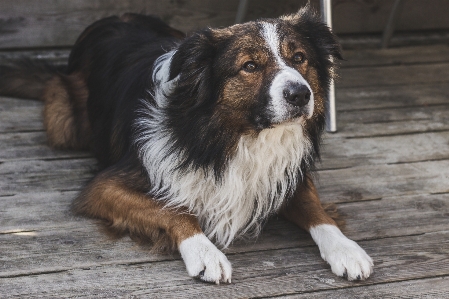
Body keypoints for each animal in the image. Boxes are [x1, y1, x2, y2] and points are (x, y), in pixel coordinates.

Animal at [0, 5, 372, 284]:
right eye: (250, 66)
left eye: (299, 58)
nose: (300, 95)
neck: (236, 135)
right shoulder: (104, 186)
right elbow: (172, 209)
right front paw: (205, 252)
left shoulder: (283, 172)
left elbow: (315, 208)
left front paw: (346, 248)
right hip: (63, 120)